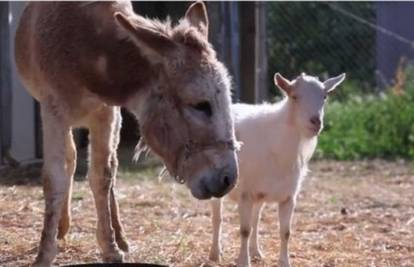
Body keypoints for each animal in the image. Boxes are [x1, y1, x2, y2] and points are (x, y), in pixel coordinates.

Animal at [209, 72, 344, 266]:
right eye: (294, 96)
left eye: (324, 97)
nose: (315, 122)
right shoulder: (246, 194)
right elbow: (244, 230)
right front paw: (243, 261)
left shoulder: (288, 197)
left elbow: (285, 232)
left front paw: (284, 262)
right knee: (217, 217)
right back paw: (215, 253)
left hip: (261, 193)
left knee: (256, 219)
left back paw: (256, 252)